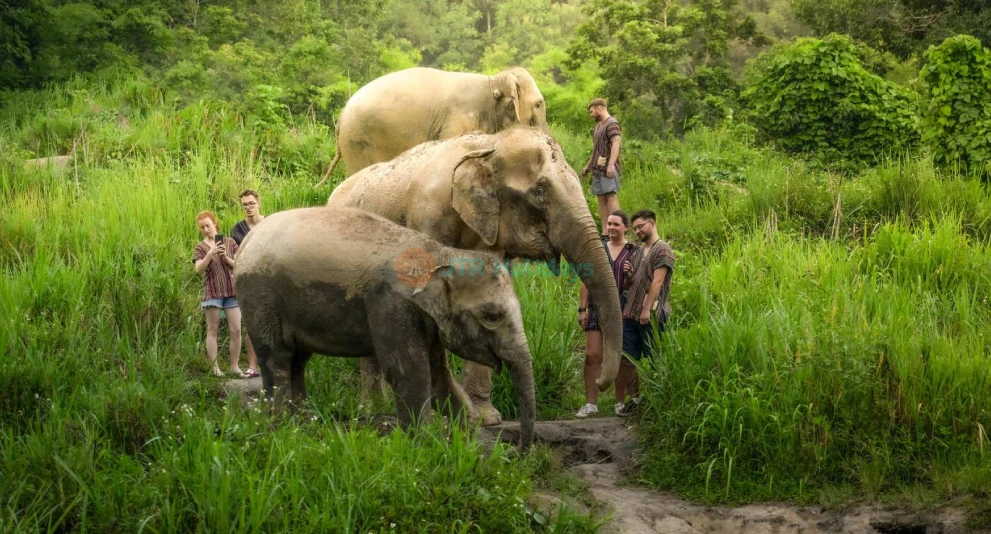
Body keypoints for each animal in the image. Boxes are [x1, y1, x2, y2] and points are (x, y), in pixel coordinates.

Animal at [234, 206, 537, 449]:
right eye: (491, 316)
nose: (523, 449)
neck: (440, 253)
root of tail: (246, 242)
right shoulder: (391, 304)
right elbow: (408, 371)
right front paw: (422, 444)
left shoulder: (428, 318)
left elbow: (438, 373)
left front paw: (466, 436)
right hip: (260, 297)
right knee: (278, 358)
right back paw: (281, 427)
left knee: (298, 360)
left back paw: (305, 422)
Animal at [327, 127, 622, 426]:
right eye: (539, 191)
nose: (600, 382)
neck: (489, 144)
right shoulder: (427, 216)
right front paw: (444, 419)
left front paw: (484, 418)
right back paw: (371, 408)